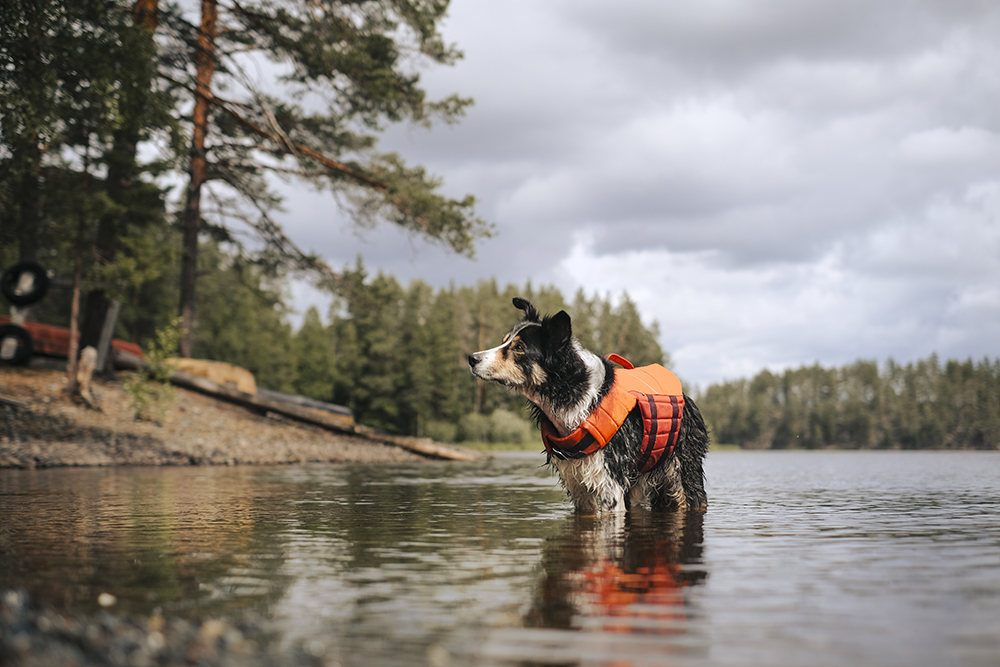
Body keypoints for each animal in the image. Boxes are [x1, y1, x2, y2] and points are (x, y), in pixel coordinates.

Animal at [466, 298, 708, 516]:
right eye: (504, 341)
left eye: (519, 347)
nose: (471, 358)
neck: (572, 393)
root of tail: (688, 399)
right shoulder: (577, 483)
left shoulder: (611, 481)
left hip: (684, 474)